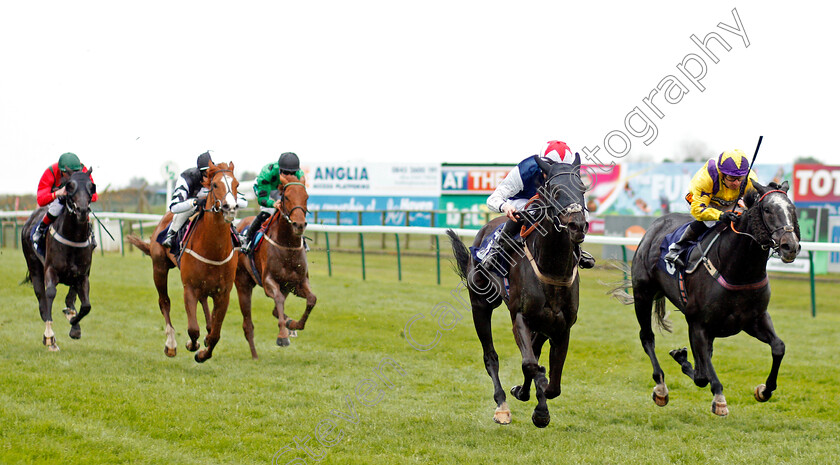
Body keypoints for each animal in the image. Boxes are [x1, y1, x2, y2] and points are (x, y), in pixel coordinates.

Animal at [20, 169, 96, 350]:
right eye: (69, 186)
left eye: (92, 186)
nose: (82, 211)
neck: (73, 237)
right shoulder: (51, 270)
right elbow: (50, 294)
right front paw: (49, 336)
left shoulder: (82, 274)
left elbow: (85, 305)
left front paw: (74, 324)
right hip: (34, 267)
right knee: (42, 301)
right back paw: (51, 339)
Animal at [126, 160, 243, 362]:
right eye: (214, 185)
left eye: (236, 184)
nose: (230, 207)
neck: (214, 250)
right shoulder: (189, 287)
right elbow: (193, 329)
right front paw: (192, 344)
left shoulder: (223, 293)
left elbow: (216, 334)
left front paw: (203, 352)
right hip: (159, 267)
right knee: (164, 301)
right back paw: (171, 344)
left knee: (204, 305)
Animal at [235, 172, 316, 358]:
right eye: (286, 197)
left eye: (306, 196)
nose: (299, 224)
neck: (287, 246)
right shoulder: (268, 282)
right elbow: (277, 299)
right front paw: (282, 336)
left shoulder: (297, 283)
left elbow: (312, 299)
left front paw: (294, 325)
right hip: (243, 283)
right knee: (248, 324)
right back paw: (255, 355)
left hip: (285, 286)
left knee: (275, 309)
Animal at [446, 154, 592, 426]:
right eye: (554, 190)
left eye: (582, 189)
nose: (577, 225)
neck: (552, 268)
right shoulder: (521, 317)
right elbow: (530, 365)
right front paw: (540, 410)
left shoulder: (561, 326)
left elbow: (553, 383)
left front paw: (534, 395)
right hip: (480, 305)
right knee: (490, 356)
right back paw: (502, 405)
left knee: (534, 350)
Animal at [624, 179, 800, 416]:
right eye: (767, 209)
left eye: (792, 209)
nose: (790, 246)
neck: (740, 270)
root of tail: (655, 225)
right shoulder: (699, 324)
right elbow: (705, 374)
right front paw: (719, 398)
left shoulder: (754, 319)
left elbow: (778, 347)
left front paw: (765, 390)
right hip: (643, 293)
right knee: (647, 337)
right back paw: (660, 386)